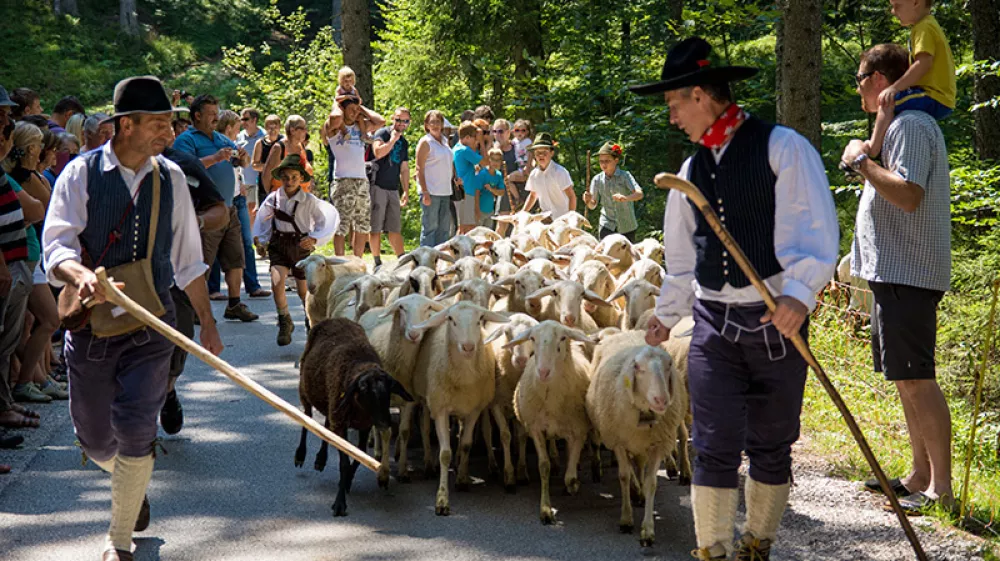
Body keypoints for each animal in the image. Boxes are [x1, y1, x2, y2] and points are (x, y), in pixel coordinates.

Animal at [294, 318, 412, 516]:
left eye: (389, 391)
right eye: (364, 390)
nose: (385, 422)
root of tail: (335, 319)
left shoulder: (363, 424)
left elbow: (359, 454)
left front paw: (348, 480)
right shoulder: (342, 423)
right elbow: (343, 463)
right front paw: (339, 502)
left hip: (331, 402)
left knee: (326, 426)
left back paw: (321, 459)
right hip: (305, 389)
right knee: (307, 418)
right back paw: (300, 455)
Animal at [410, 300, 512, 516]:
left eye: (480, 319)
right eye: (451, 319)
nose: (468, 347)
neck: (464, 378)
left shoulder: (474, 410)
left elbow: (466, 444)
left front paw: (463, 479)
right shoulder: (440, 409)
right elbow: (444, 453)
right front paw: (442, 500)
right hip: (428, 400)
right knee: (424, 428)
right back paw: (429, 463)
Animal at [508, 322, 592, 524]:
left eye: (562, 338)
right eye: (532, 338)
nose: (543, 372)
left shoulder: (579, 431)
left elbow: (569, 476)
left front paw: (573, 484)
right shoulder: (536, 429)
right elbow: (543, 467)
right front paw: (545, 509)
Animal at [588, 330, 692, 544]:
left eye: (669, 365)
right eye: (637, 367)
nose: (661, 400)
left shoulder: (657, 444)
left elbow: (651, 482)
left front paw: (648, 529)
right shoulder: (619, 442)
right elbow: (624, 476)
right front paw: (626, 519)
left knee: (640, 463)